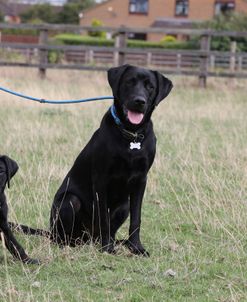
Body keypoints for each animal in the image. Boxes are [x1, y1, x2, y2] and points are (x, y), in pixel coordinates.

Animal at [49, 65, 173, 256]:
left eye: (150, 86)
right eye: (129, 82)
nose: (139, 101)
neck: (131, 135)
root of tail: (88, 239)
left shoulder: (141, 180)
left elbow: (136, 219)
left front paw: (136, 247)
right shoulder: (101, 179)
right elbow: (103, 218)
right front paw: (107, 248)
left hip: (123, 206)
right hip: (69, 201)